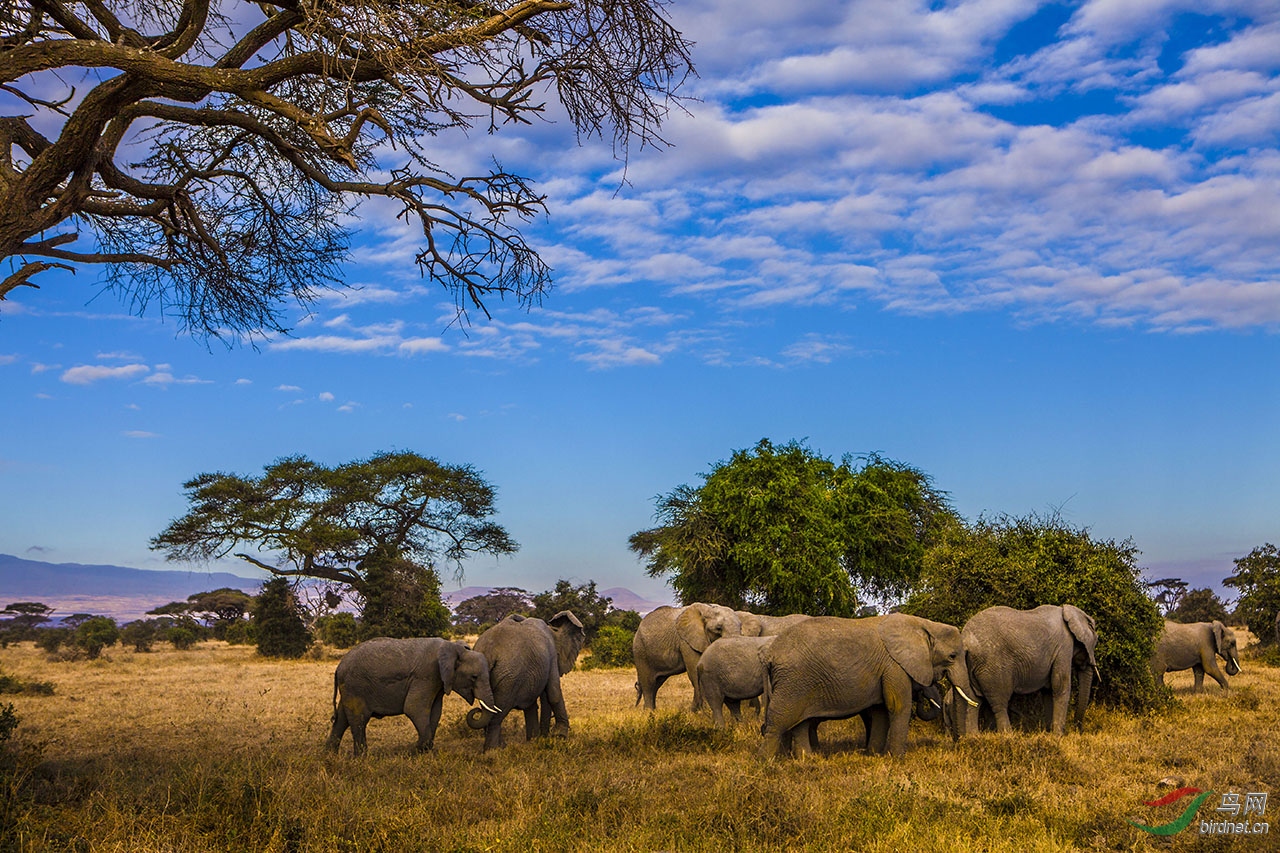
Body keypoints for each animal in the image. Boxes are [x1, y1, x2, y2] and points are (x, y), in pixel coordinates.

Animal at [322, 635, 496, 753]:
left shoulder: (438, 682)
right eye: (474, 677)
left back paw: (330, 756)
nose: (476, 710)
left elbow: (435, 712)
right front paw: (417, 750)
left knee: (342, 719)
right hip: (355, 686)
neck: (453, 648)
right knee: (359, 719)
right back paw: (361, 758)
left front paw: (424, 752)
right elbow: (414, 708)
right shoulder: (426, 676)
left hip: (350, 688)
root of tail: (339, 667)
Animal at [465, 607, 586, 747]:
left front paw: (532, 741)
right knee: (496, 715)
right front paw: (559, 736)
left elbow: (532, 704)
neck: (553, 630)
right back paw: (493, 750)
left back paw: (500, 747)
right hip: (509, 678)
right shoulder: (551, 656)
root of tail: (488, 651)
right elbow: (553, 693)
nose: (545, 736)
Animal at [752, 612, 972, 758]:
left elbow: (881, 711)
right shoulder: (894, 666)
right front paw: (896, 759)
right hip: (795, 681)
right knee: (780, 720)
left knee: (799, 721)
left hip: (799, 683)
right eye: (952, 656)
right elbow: (898, 706)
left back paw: (806, 760)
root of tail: (770, 655)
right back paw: (765, 762)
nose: (959, 743)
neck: (923, 624)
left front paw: (874, 754)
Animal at [962, 601, 1100, 732]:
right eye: (1095, 641)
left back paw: (974, 736)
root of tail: (965, 641)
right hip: (992, 666)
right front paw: (1058, 736)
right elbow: (1060, 685)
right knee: (999, 703)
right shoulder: (1064, 646)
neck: (1068, 611)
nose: (1079, 729)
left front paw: (1049, 733)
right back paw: (1008, 735)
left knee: (974, 700)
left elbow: (1048, 691)